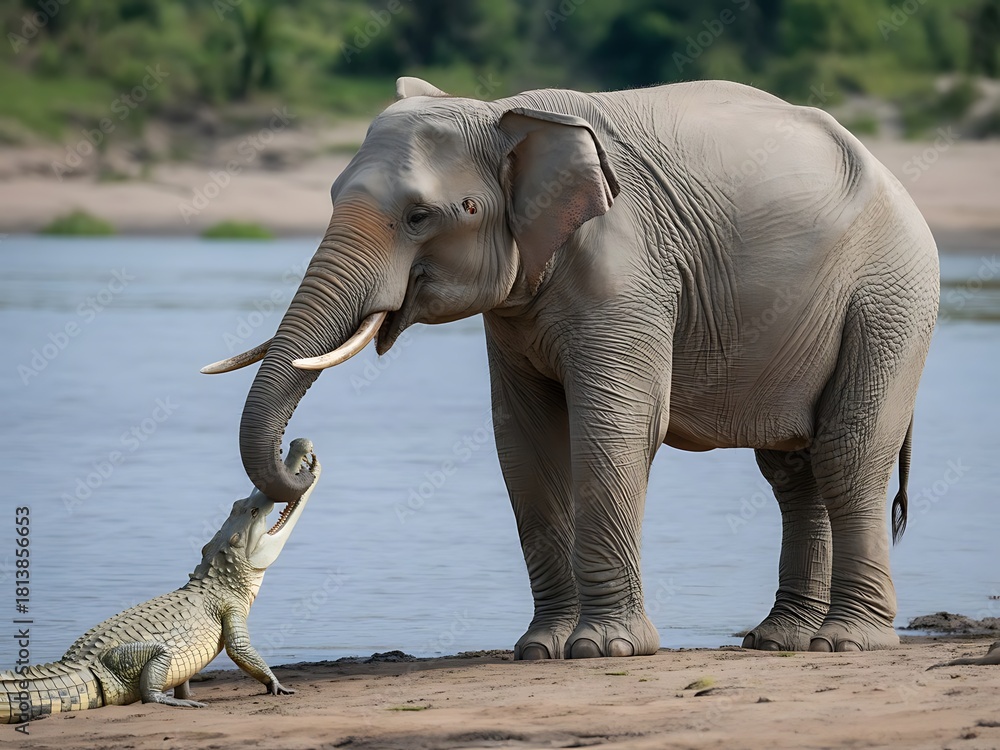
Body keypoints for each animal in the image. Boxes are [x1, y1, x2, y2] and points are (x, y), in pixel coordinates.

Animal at [202, 77, 939, 658]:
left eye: (422, 216)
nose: (302, 457)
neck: (506, 113)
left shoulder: (629, 267)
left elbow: (615, 425)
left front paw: (604, 650)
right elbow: (526, 441)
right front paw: (539, 650)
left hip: (889, 294)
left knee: (847, 451)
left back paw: (847, 641)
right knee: (792, 470)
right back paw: (779, 641)